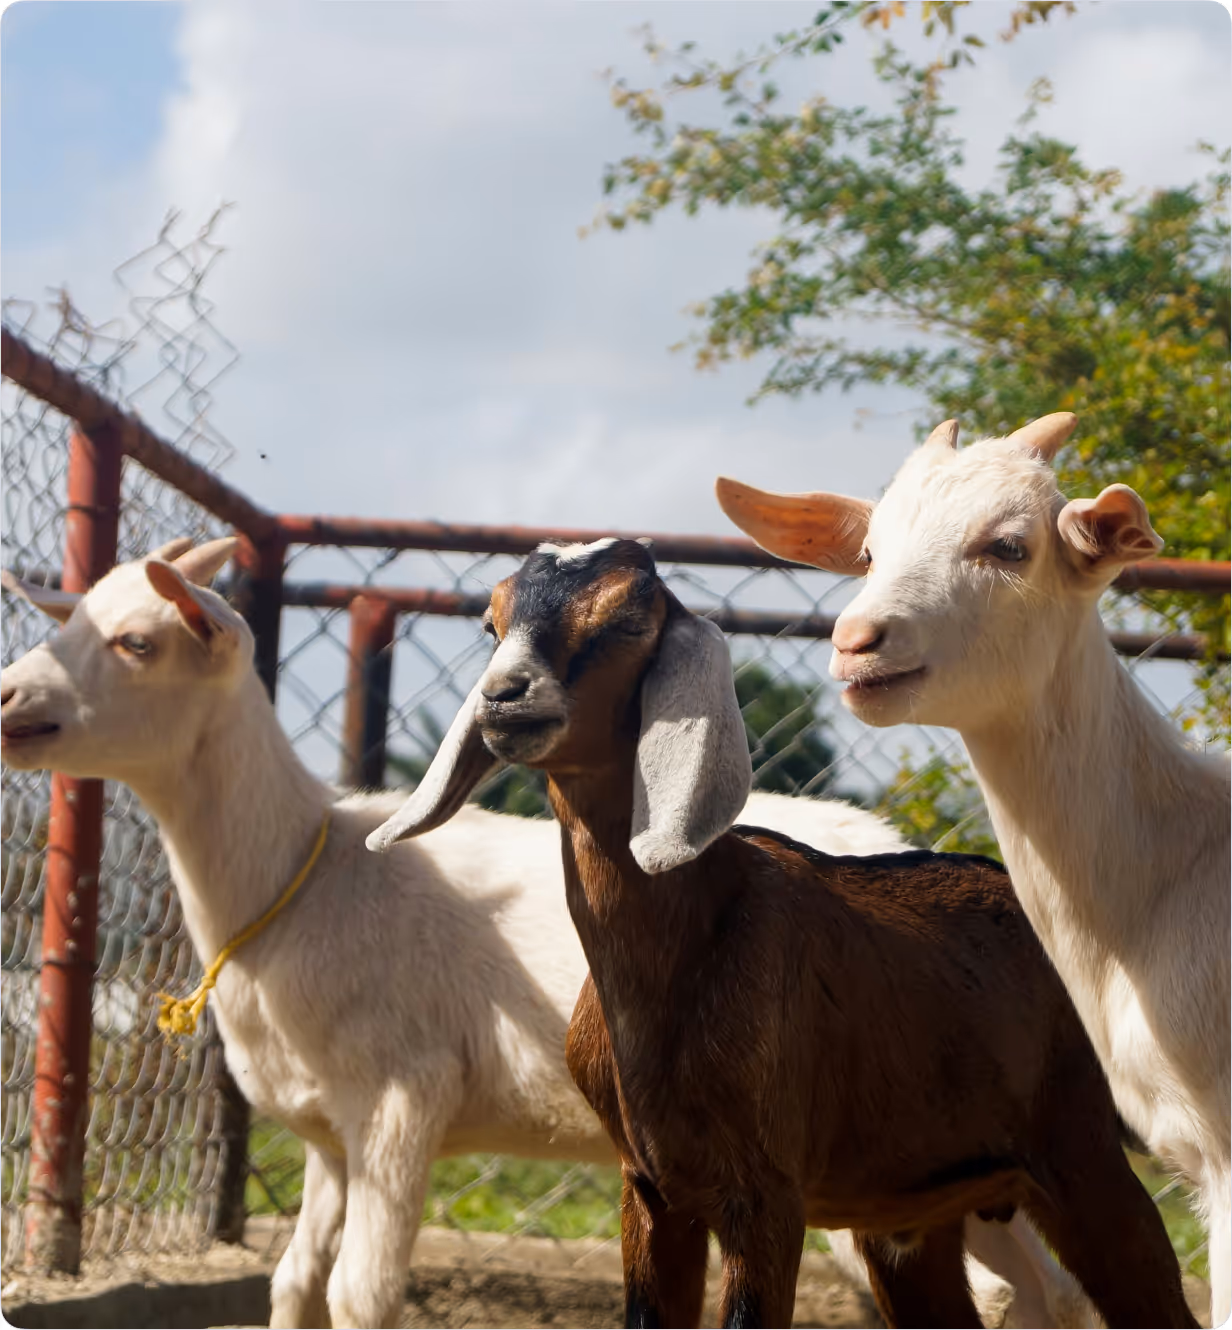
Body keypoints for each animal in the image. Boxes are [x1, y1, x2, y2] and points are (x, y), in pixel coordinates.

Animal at [0, 538, 1083, 1328]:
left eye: (138, 642)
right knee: (1042, 1288)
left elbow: (359, 1292)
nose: (9, 699)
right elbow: (295, 1284)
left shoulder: (404, 1095)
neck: (303, 873)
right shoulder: (328, 1136)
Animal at [368, 536, 1195, 1329]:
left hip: (1082, 1156)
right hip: (913, 1215)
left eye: (628, 620)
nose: (504, 699)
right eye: (492, 622)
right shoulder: (650, 1191)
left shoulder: (765, 1197)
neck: (688, 946)